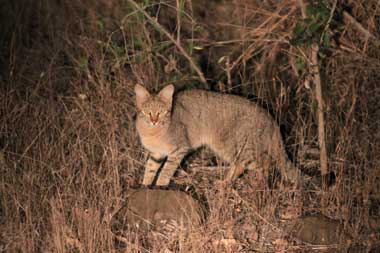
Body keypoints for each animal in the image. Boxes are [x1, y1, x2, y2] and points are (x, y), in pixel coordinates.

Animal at [134, 84, 300, 187]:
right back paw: (226, 182)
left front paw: (160, 185)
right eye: (147, 112)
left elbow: (166, 170)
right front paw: (145, 185)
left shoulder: (178, 149)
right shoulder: (156, 153)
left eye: (161, 112)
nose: (154, 120)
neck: (152, 132)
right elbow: (150, 169)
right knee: (241, 165)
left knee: (264, 163)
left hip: (235, 147)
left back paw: (259, 183)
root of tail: (271, 118)